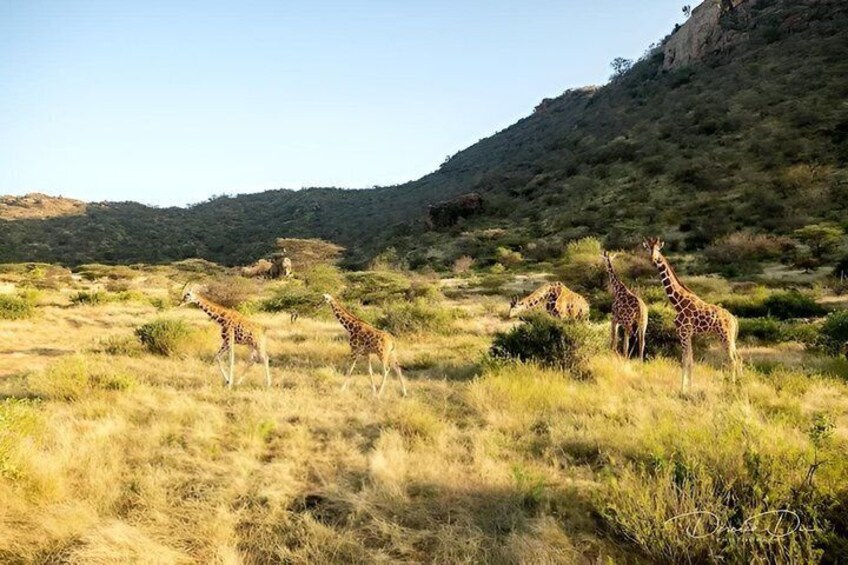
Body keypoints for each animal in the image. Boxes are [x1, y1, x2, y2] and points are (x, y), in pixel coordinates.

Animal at [643, 238, 742, 390]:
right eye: (648, 248)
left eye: (658, 249)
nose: (653, 260)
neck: (677, 302)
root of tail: (734, 320)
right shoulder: (688, 333)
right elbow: (690, 359)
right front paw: (689, 387)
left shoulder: (683, 331)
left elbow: (685, 360)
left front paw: (683, 389)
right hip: (731, 337)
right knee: (738, 357)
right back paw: (738, 383)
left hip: (725, 336)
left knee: (732, 359)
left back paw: (731, 387)